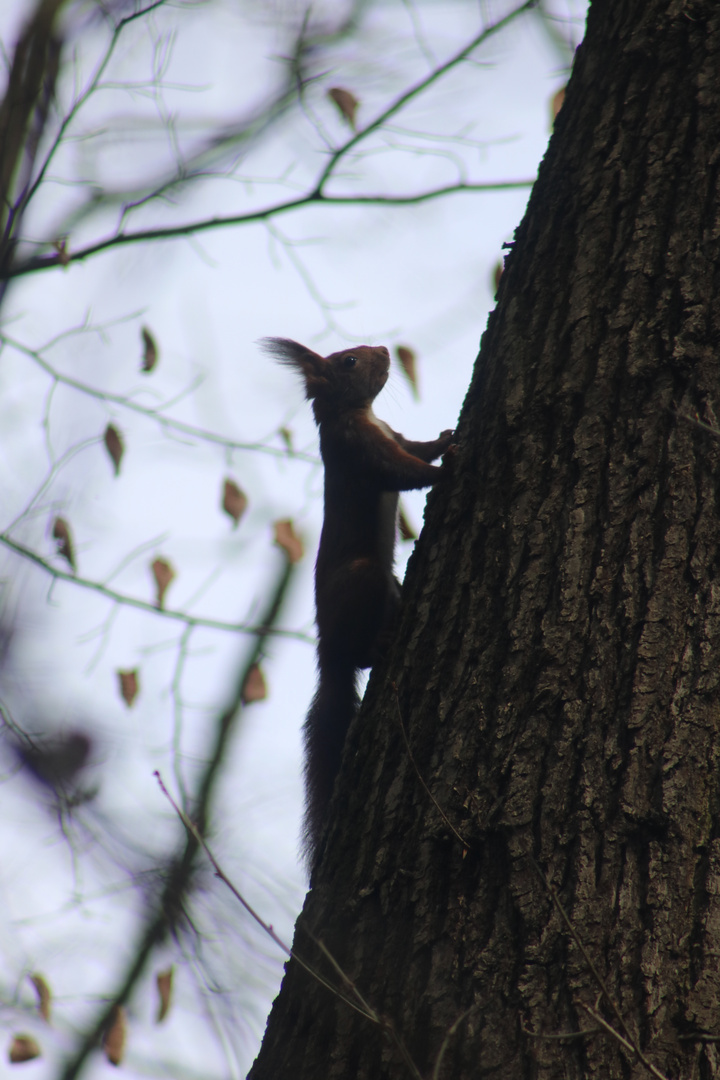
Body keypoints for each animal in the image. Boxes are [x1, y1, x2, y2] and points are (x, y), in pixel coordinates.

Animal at [263, 336, 455, 868]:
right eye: (349, 361)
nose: (385, 349)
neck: (359, 413)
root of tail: (326, 649)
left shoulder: (391, 434)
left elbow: (413, 445)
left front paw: (446, 438)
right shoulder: (362, 451)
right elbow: (403, 471)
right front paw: (449, 466)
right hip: (364, 578)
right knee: (362, 656)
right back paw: (380, 644)